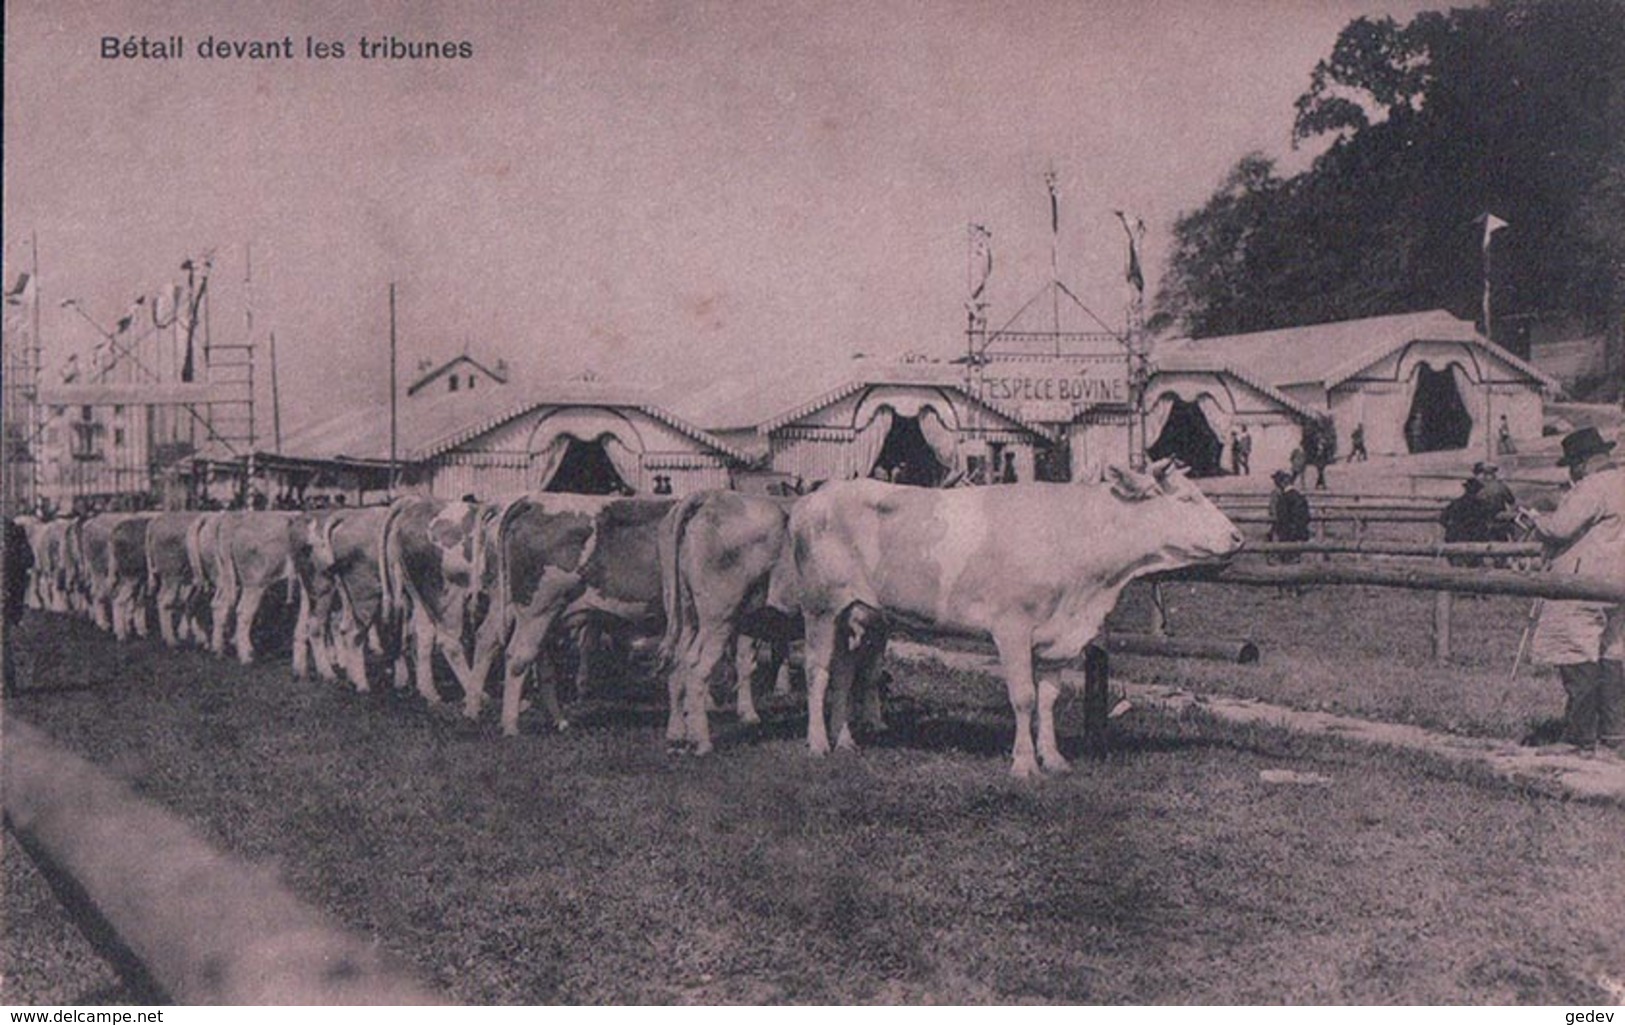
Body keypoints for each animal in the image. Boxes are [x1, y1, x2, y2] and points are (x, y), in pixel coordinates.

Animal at [471, 497, 672, 737]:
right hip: (538, 607)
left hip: (515, 604)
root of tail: (530, 501)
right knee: (518, 656)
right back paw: (510, 726)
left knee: (489, 640)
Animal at [786, 464, 1241, 776]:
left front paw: (1053, 757)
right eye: (1186, 499)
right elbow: (1023, 697)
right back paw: (817, 742)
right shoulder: (1012, 628)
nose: (1237, 536)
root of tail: (816, 496)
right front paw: (1024, 764)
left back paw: (845, 740)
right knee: (817, 672)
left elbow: (1050, 698)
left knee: (845, 672)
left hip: (860, 614)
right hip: (820, 606)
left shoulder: (1060, 637)